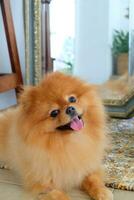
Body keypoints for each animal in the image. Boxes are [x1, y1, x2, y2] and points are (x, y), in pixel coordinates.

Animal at [0, 72, 113, 200]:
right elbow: (60, 195)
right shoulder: (43, 183)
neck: (71, 141)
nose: (70, 108)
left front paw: (102, 192)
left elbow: (93, 179)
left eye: (72, 99)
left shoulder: (87, 166)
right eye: (54, 112)